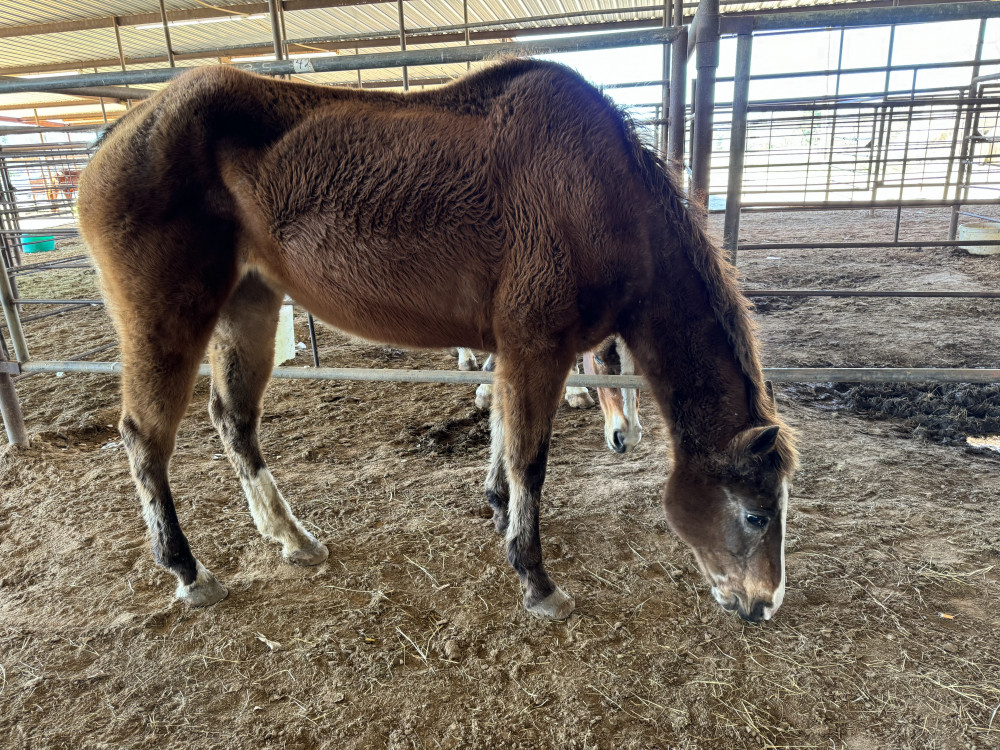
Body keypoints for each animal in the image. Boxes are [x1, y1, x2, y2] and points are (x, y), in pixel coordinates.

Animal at [78, 58, 797, 623]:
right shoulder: (538, 346)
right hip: (165, 321)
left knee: (234, 420)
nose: (763, 604)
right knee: (145, 436)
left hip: (248, 307)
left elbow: (504, 435)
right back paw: (188, 571)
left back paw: (294, 538)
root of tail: (119, 132)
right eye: (757, 514)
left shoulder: (517, 349)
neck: (602, 190)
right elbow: (530, 459)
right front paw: (536, 579)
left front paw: (498, 507)